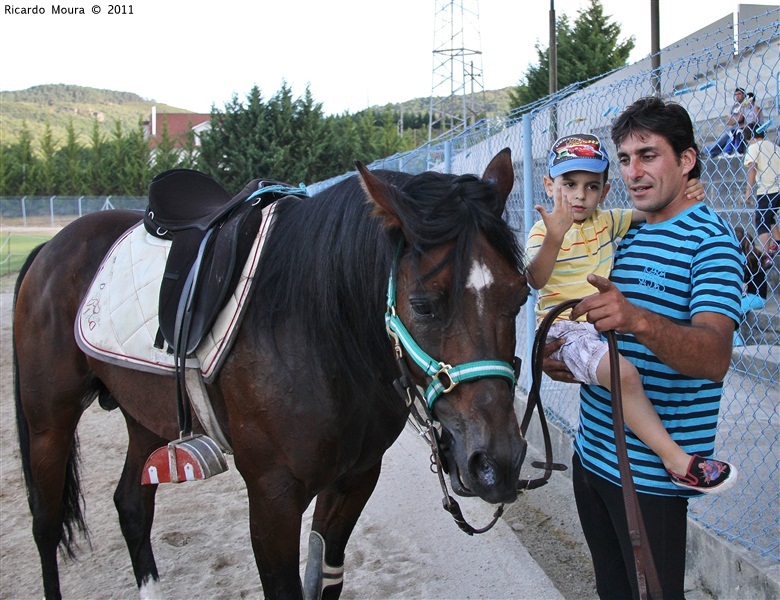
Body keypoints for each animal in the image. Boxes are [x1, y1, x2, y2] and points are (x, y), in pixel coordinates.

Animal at [13, 146, 532, 600]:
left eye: (520, 295)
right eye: (423, 305)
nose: (498, 463)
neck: (319, 334)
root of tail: (51, 247)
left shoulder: (355, 480)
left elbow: (325, 576)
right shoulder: (272, 497)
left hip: (145, 417)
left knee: (132, 506)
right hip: (49, 420)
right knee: (45, 522)